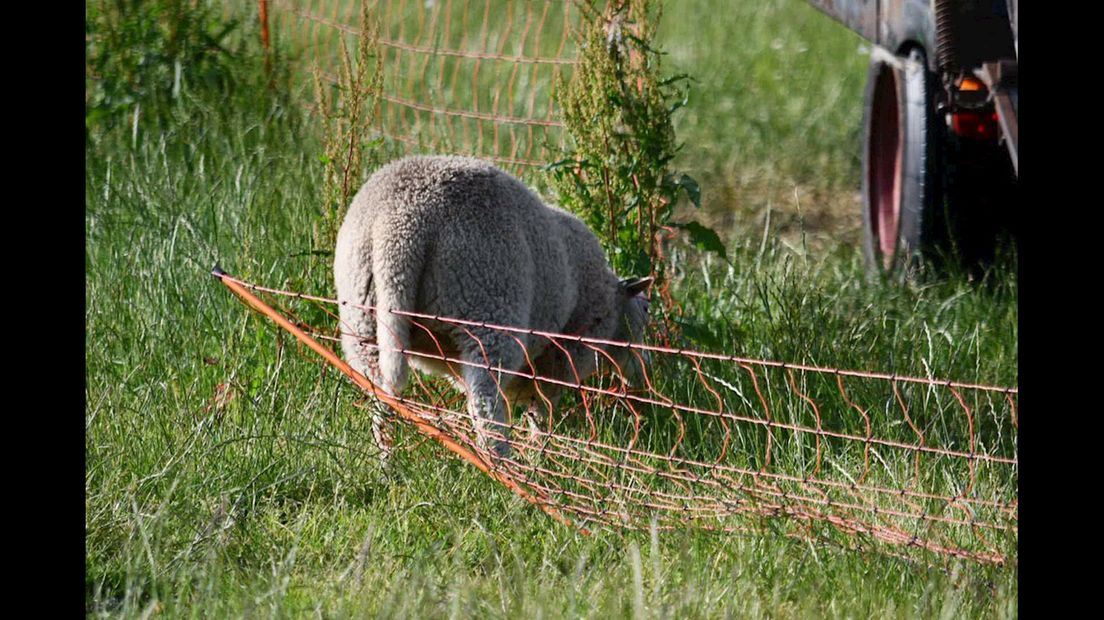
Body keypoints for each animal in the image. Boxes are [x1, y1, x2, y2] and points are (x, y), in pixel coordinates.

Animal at [331, 154, 649, 454]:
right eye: (646, 312)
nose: (647, 372)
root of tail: (399, 224)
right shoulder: (560, 357)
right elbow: (542, 409)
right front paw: (540, 450)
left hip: (363, 315)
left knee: (381, 392)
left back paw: (387, 458)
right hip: (488, 307)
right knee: (485, 406)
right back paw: (503, 465)